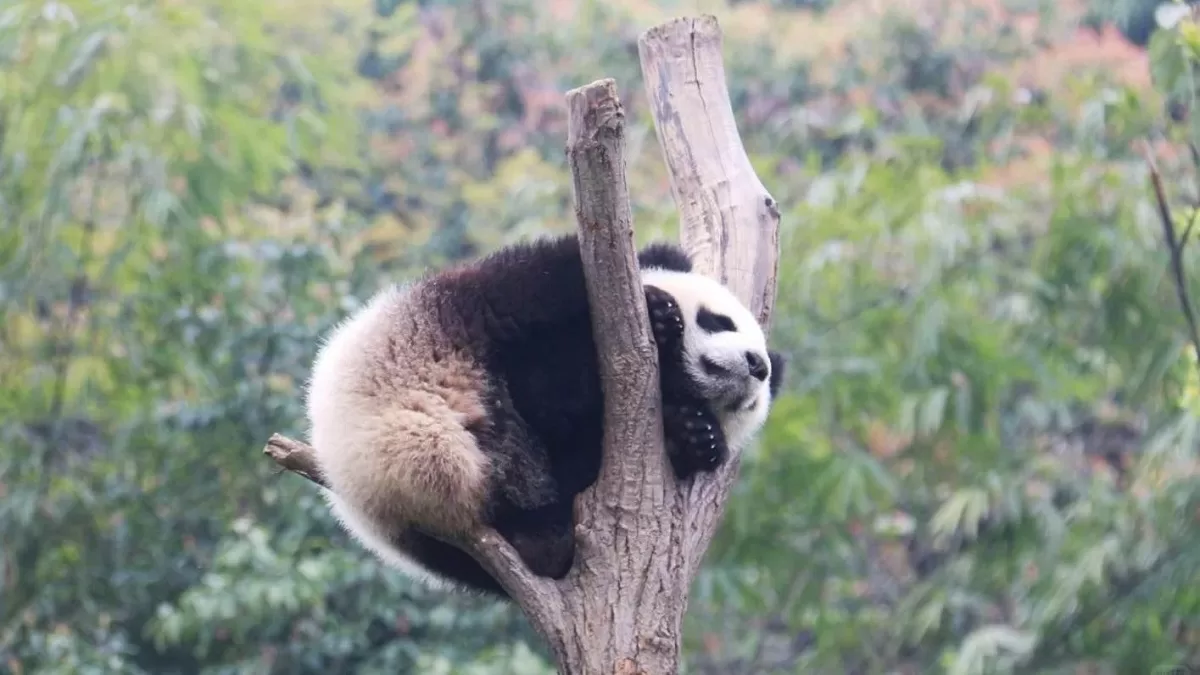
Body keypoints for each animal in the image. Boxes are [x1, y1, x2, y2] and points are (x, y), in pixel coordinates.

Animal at [304, 233, 785, 599]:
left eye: (746, 406)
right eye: (719, 321)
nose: (758, 365)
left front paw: (696, 435)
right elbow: (551, 384)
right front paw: (661, 320)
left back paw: (542, 540)